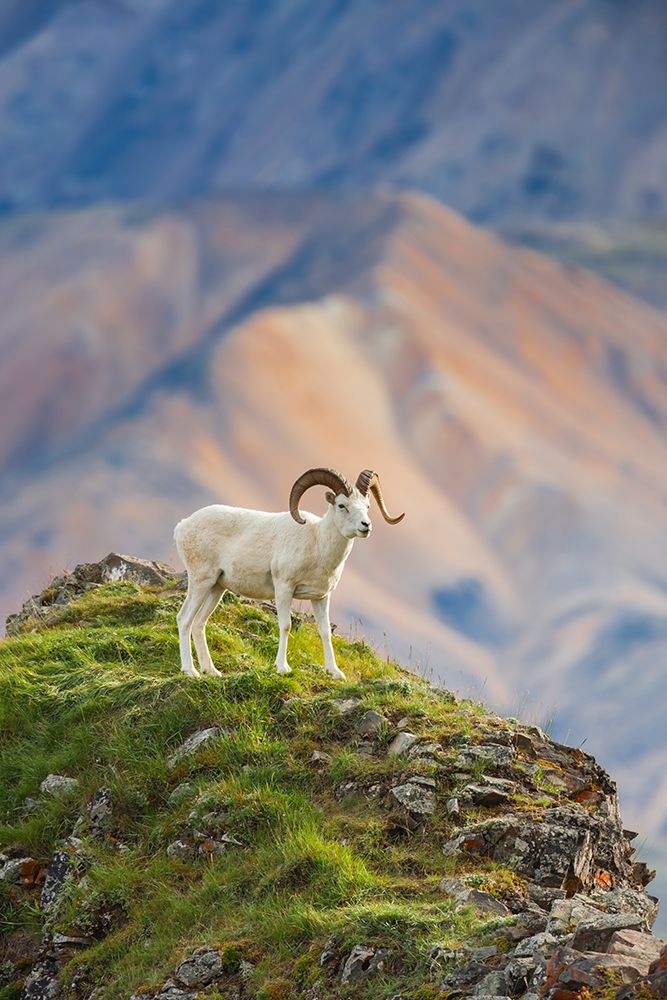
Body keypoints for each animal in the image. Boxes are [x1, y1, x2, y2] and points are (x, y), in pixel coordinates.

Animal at [173, 467, 404, 680]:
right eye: (342, 505)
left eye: (367, 506)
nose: (366, 526)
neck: (317, 544)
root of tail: (182, 526)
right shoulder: (284, 589)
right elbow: (286, 626)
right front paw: (282, 667)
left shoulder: (321, 597)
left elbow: (325, 632)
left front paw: (335, 672)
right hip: (201, 582)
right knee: (184, 619)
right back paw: (190, 671)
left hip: (217, 588)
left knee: (199, 623)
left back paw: (211, 671)